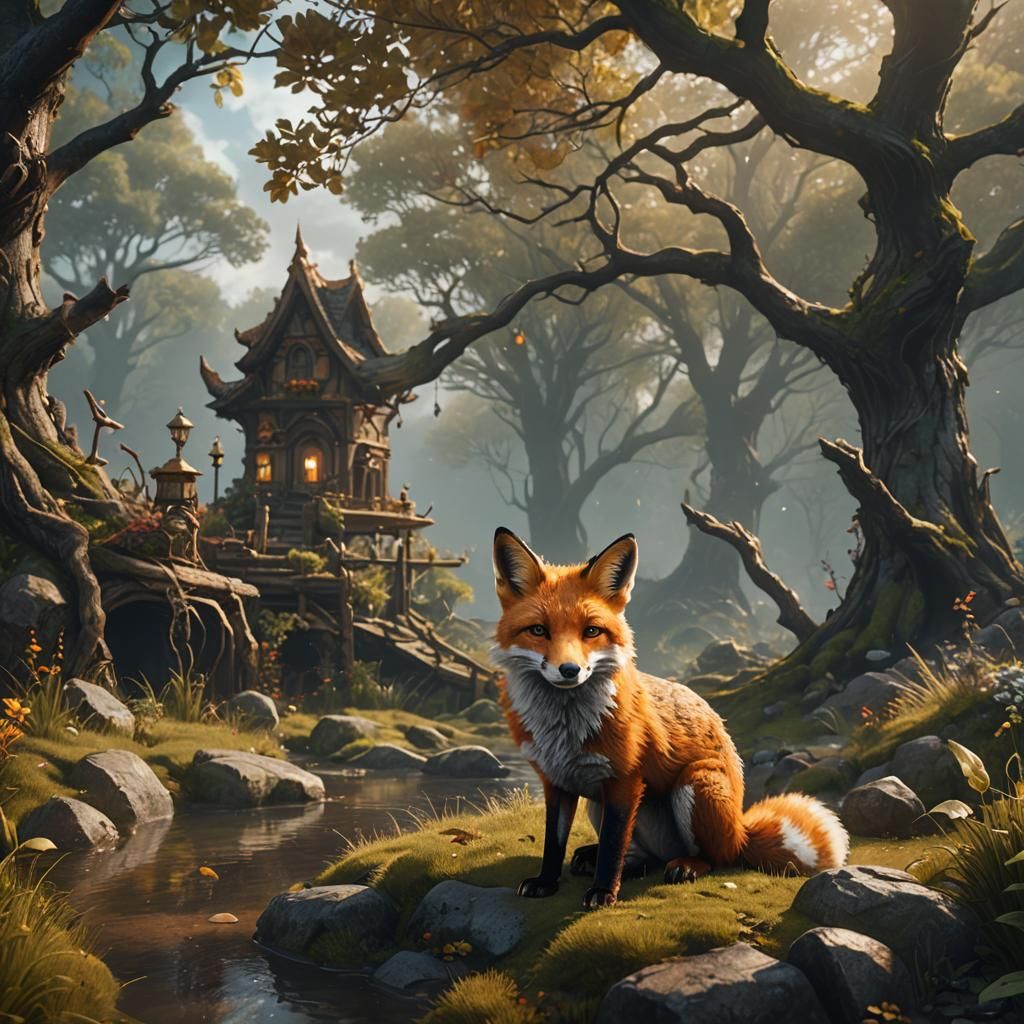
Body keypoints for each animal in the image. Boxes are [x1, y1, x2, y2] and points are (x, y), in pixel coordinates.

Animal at [490, 527, 849, 909]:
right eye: (539, 630)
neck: (564, 729)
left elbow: (612, 849)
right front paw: (546, 882)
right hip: (597, 804)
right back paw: (604, 858)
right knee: (642, 858)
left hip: (696, 782)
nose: (569, 670)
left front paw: (604, 892)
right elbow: (554, 843)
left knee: (717, 858)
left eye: (591, 631)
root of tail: (740, 829)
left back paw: (687, 865)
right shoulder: (556, 782)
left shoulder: (625, 781)